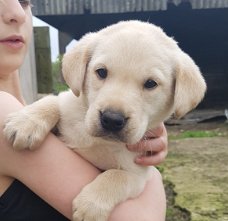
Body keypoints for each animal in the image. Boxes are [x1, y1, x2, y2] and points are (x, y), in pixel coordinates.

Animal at [3, 20, 207, 221]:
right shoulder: (69, 104)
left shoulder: (139, 175)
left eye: (151, 83)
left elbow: (116, 175)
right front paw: (26, 122)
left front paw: (91, 205)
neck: (101, 142)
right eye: (101, 72)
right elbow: (54, 101)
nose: (112, 119)